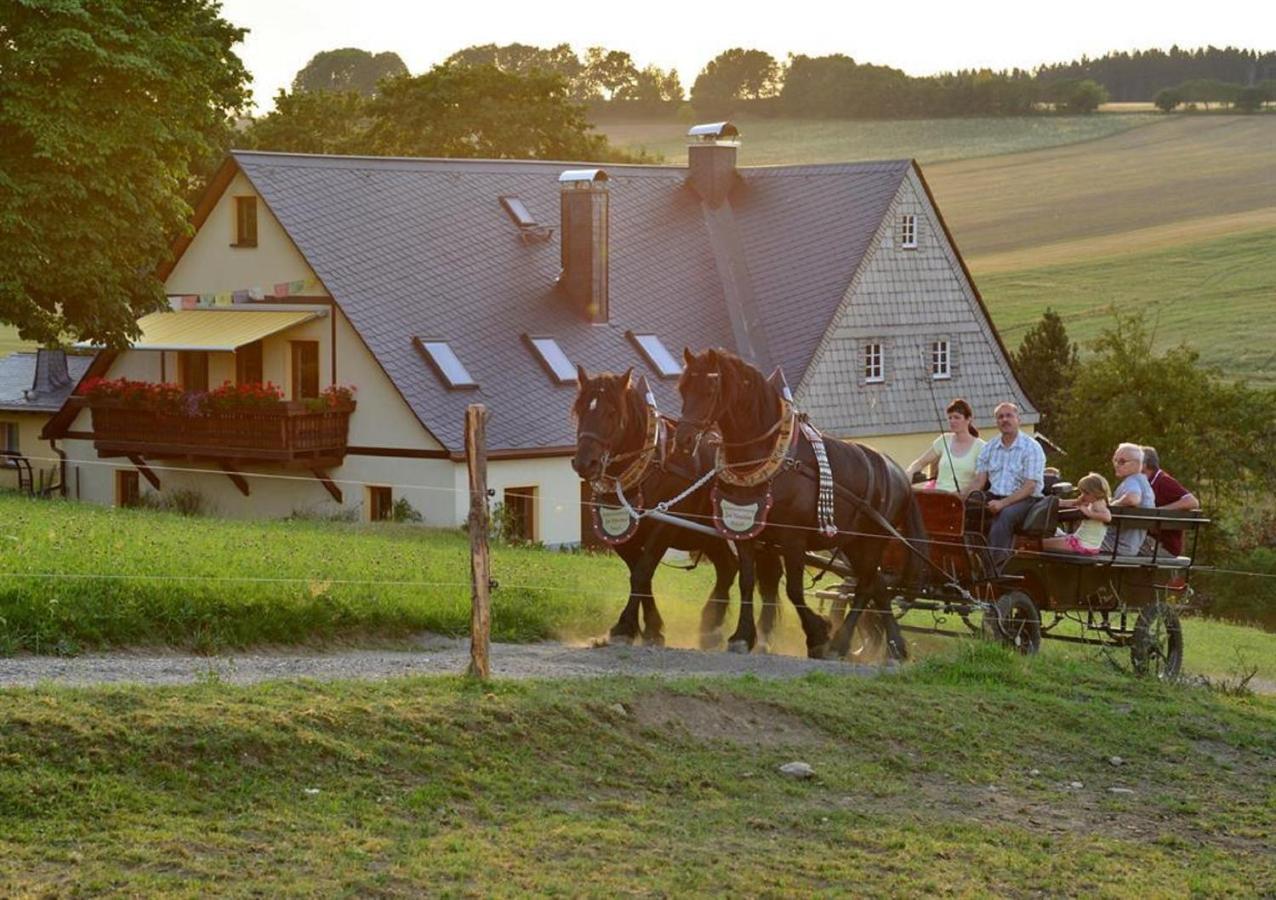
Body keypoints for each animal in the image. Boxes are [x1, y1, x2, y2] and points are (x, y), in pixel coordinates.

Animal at [574, 365, 780, 645]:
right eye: (580, 409)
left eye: (612, 412)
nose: (584, 463)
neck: (651, 465)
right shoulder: (621, 533)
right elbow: (639, 574)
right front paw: (650, 627)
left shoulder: (664, 528)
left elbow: (642, 572)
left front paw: (626, 627)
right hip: (712, 536)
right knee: (728, 567)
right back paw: (711, 625)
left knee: (768, 577)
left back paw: (762, 633)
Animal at [668, 347, 928, 658]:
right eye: (683, 388)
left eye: (709, 390)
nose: (683, 440)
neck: (768, 458)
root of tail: (899, 474)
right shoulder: (746, 532)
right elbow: (746, 582)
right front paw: (742, 636)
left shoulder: (793, 539)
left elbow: (793, 589)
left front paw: (818, 635)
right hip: (852, 543)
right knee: (876, 585)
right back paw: (895, 648)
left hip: (872, 541)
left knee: (866, 586)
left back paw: (840, 644)